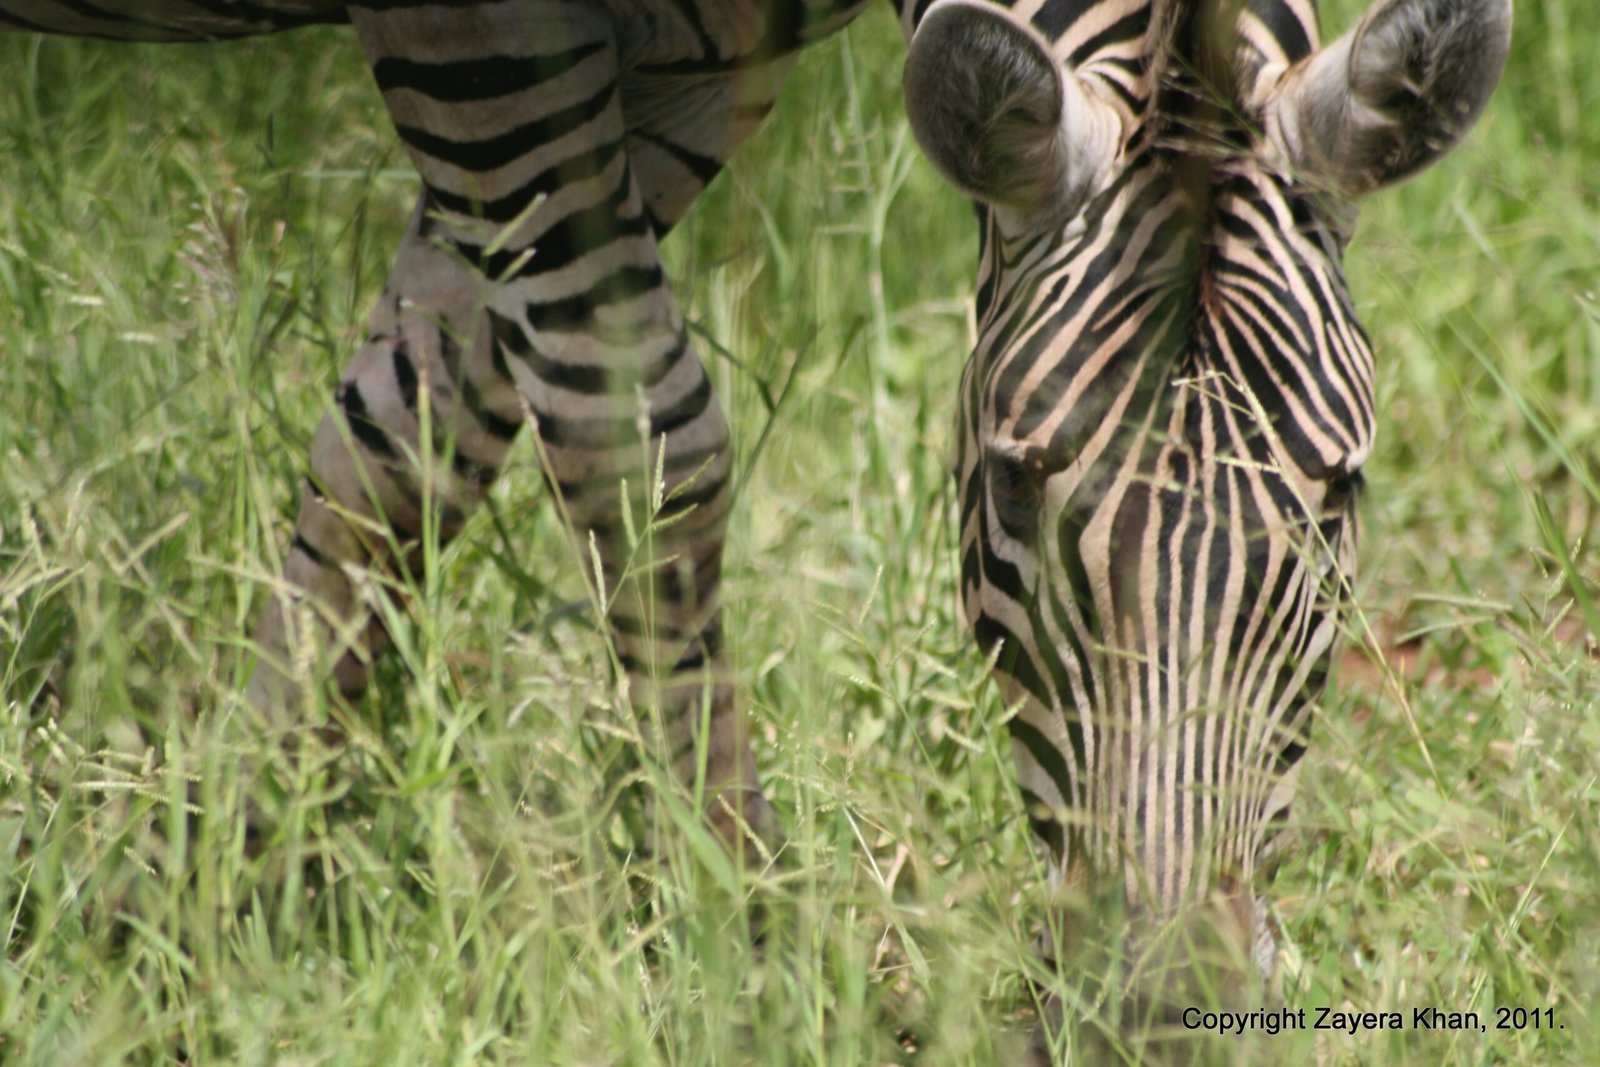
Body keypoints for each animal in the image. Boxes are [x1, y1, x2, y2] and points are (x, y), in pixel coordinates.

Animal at [6, 0, 1509, 1033]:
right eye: (1010, 487)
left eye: (1340, 496)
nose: (1167, 1005)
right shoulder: (486, 39)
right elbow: (634, 428)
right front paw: (745, 939)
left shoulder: (689, 62)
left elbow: (411, 419)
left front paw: (199, 877)